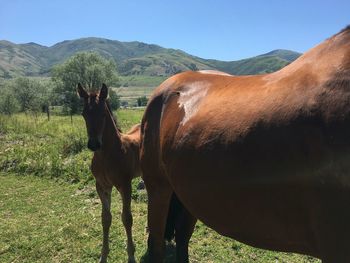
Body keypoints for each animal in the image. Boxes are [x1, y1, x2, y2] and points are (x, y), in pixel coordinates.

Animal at [78, 83, 141, 262]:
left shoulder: (125, 186)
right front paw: (103, 255)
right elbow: (106, 218)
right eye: (84, 114)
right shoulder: (102, 186)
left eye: (103, 114)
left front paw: (131, 255)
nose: (93, 144)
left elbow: (127, 218)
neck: (106, 155)